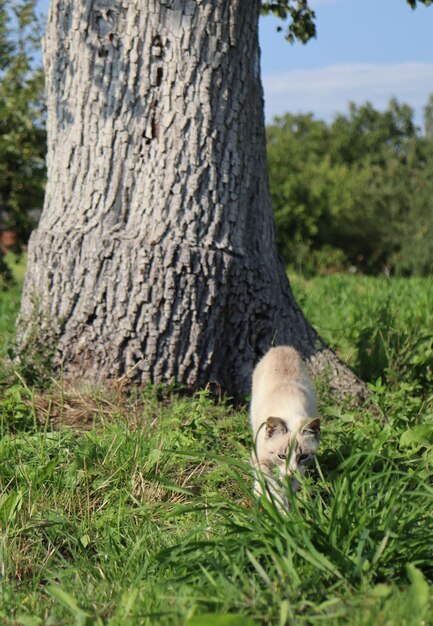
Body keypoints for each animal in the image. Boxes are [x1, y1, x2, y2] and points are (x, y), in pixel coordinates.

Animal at [251, 344, 318, 504]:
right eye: (282, 456)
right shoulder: (260, 457)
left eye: (303, 457)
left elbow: (289, 488)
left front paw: (288, 506)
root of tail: (282, 347)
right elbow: (270, 482)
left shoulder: (298, 472)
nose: (291, 471)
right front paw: (276, 503)